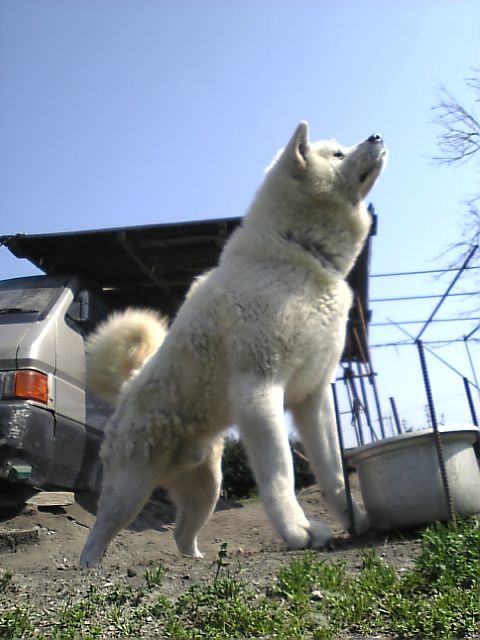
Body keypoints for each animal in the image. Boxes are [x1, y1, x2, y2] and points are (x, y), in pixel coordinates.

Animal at [79, 120, 386, 564]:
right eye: (338, 153)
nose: (377, 136)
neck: (299, 252)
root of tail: (128, 386)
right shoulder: (260, 389)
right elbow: (281, 473)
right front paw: (298, 532)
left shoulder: (313, 398)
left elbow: (333, 471)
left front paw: (356, 520)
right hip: (129, 490)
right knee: (97, 533)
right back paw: (89, 567)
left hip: (206, 489)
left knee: (181, 533)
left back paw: (198, 560)